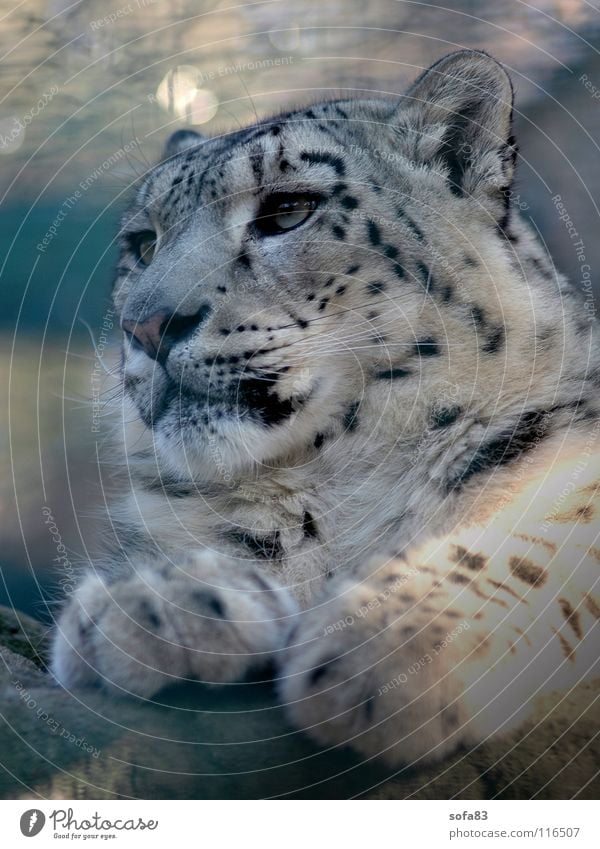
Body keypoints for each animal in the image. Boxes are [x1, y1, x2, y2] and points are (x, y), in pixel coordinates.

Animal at [51, 53, 600, 768]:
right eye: (143, 243)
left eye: (288, 210)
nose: (146, 325)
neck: (337, 485)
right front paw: (157, 598)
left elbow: (526, 543)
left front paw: (389, 644)